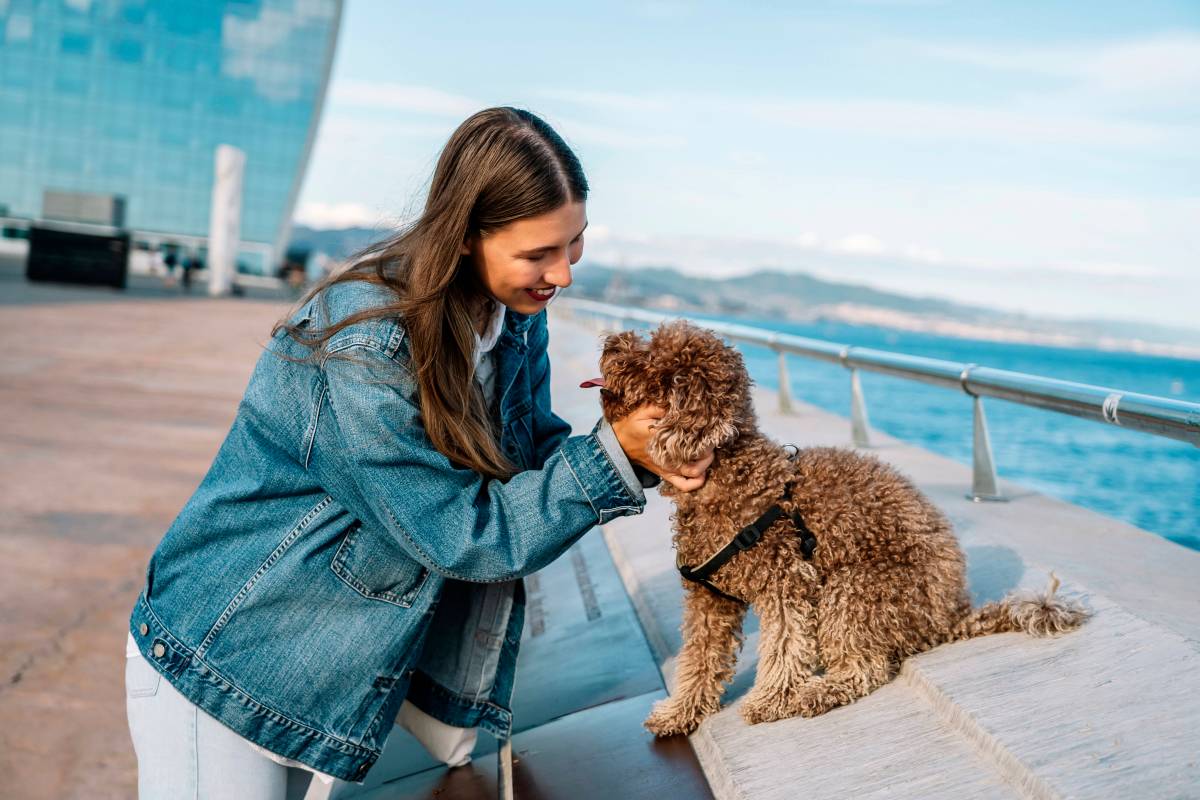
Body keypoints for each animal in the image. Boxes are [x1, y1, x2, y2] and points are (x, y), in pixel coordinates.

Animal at [588, 319, 1089, 738]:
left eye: (652, 362)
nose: (613, 341)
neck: (728, 473)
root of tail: (952, 614)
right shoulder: (710, 599)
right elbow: (699, 659)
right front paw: (679, 713)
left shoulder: (786, 580)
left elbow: (785, 645)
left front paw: (771, 701)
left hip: (856, 589)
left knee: (866, 667)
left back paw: (817, 692)